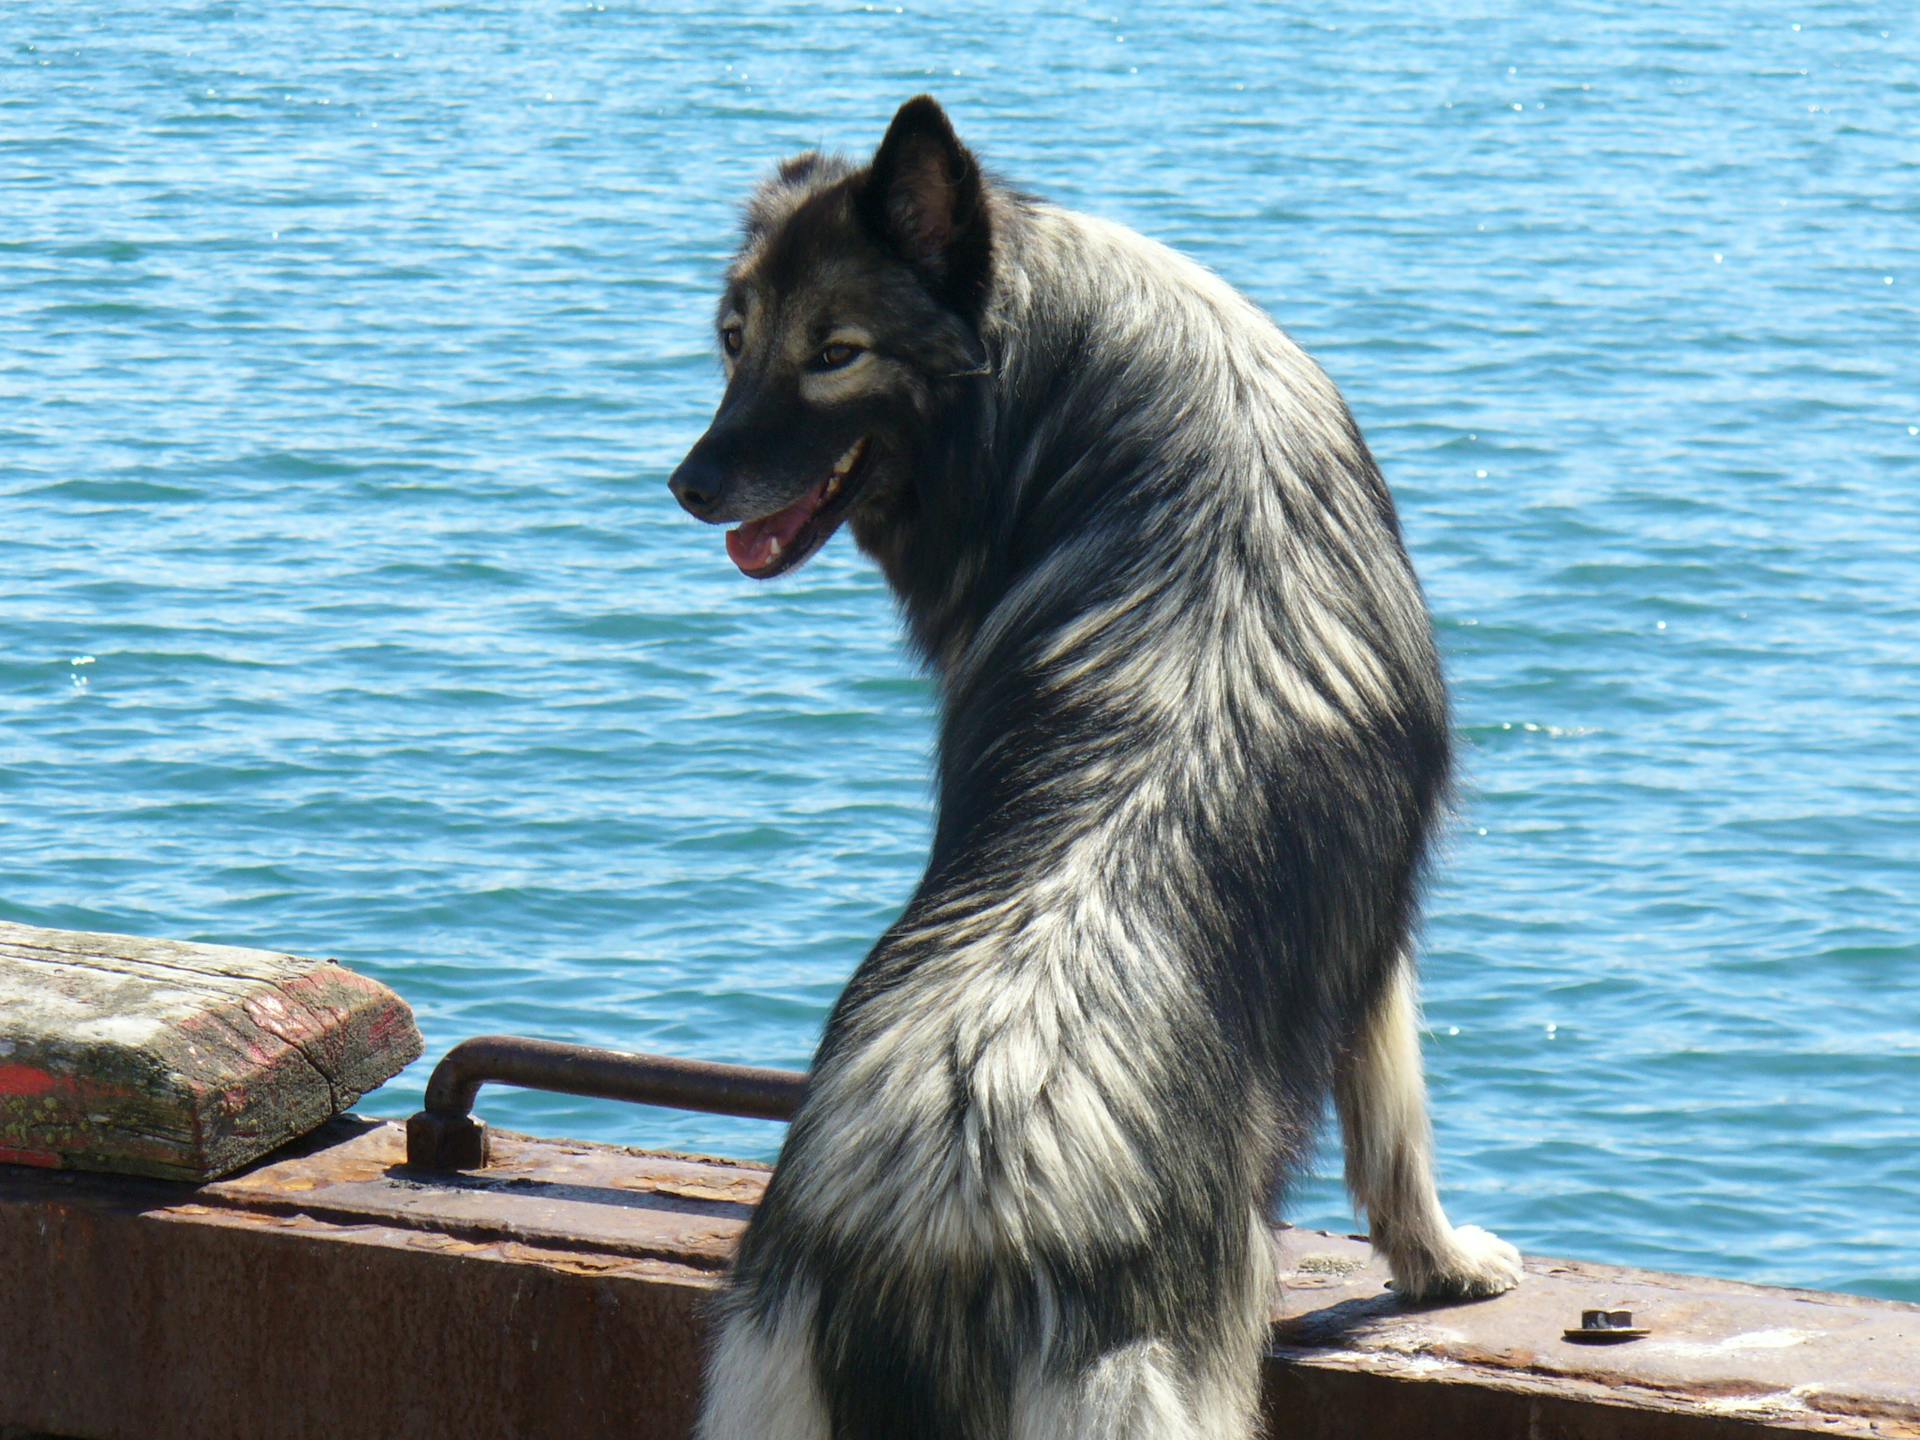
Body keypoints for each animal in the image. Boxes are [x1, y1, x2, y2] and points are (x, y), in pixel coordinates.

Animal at [668, 98, 1520, 1440]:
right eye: (736, 340)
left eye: (833, 351)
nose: (689, 483)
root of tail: (929, 1246)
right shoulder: (1377, 939)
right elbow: (1398, 1131)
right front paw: (1446, 1266)